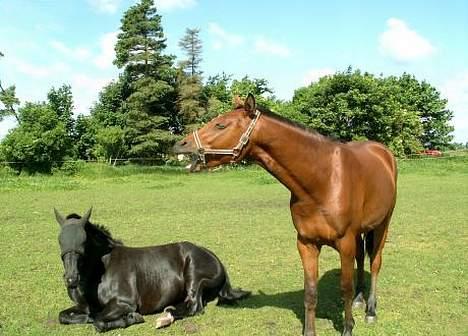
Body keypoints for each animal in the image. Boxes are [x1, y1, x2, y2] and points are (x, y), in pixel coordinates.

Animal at [54, 209, 250, 332]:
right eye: (60, 241)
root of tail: (217, 260)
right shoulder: (83, 306)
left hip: (194, 276)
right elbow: (63, 316)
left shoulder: (124, 303)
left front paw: (132, 318)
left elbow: (98, 320)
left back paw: (165, 318)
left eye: (83, 242)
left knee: (195, 306)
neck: (100, 271)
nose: (71, 279)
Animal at [174, 94, 396, 336]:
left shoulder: (345, 242)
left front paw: (348, 327)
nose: (180, 144)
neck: (324, 178)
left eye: (221, 125)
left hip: (382, 225)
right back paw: (359, 300)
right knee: (361, 259)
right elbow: (310, 292)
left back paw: (370, 310)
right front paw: (310, 331)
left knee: (375, 263)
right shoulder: (306, 243)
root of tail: (383, 153)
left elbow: (345, 287)